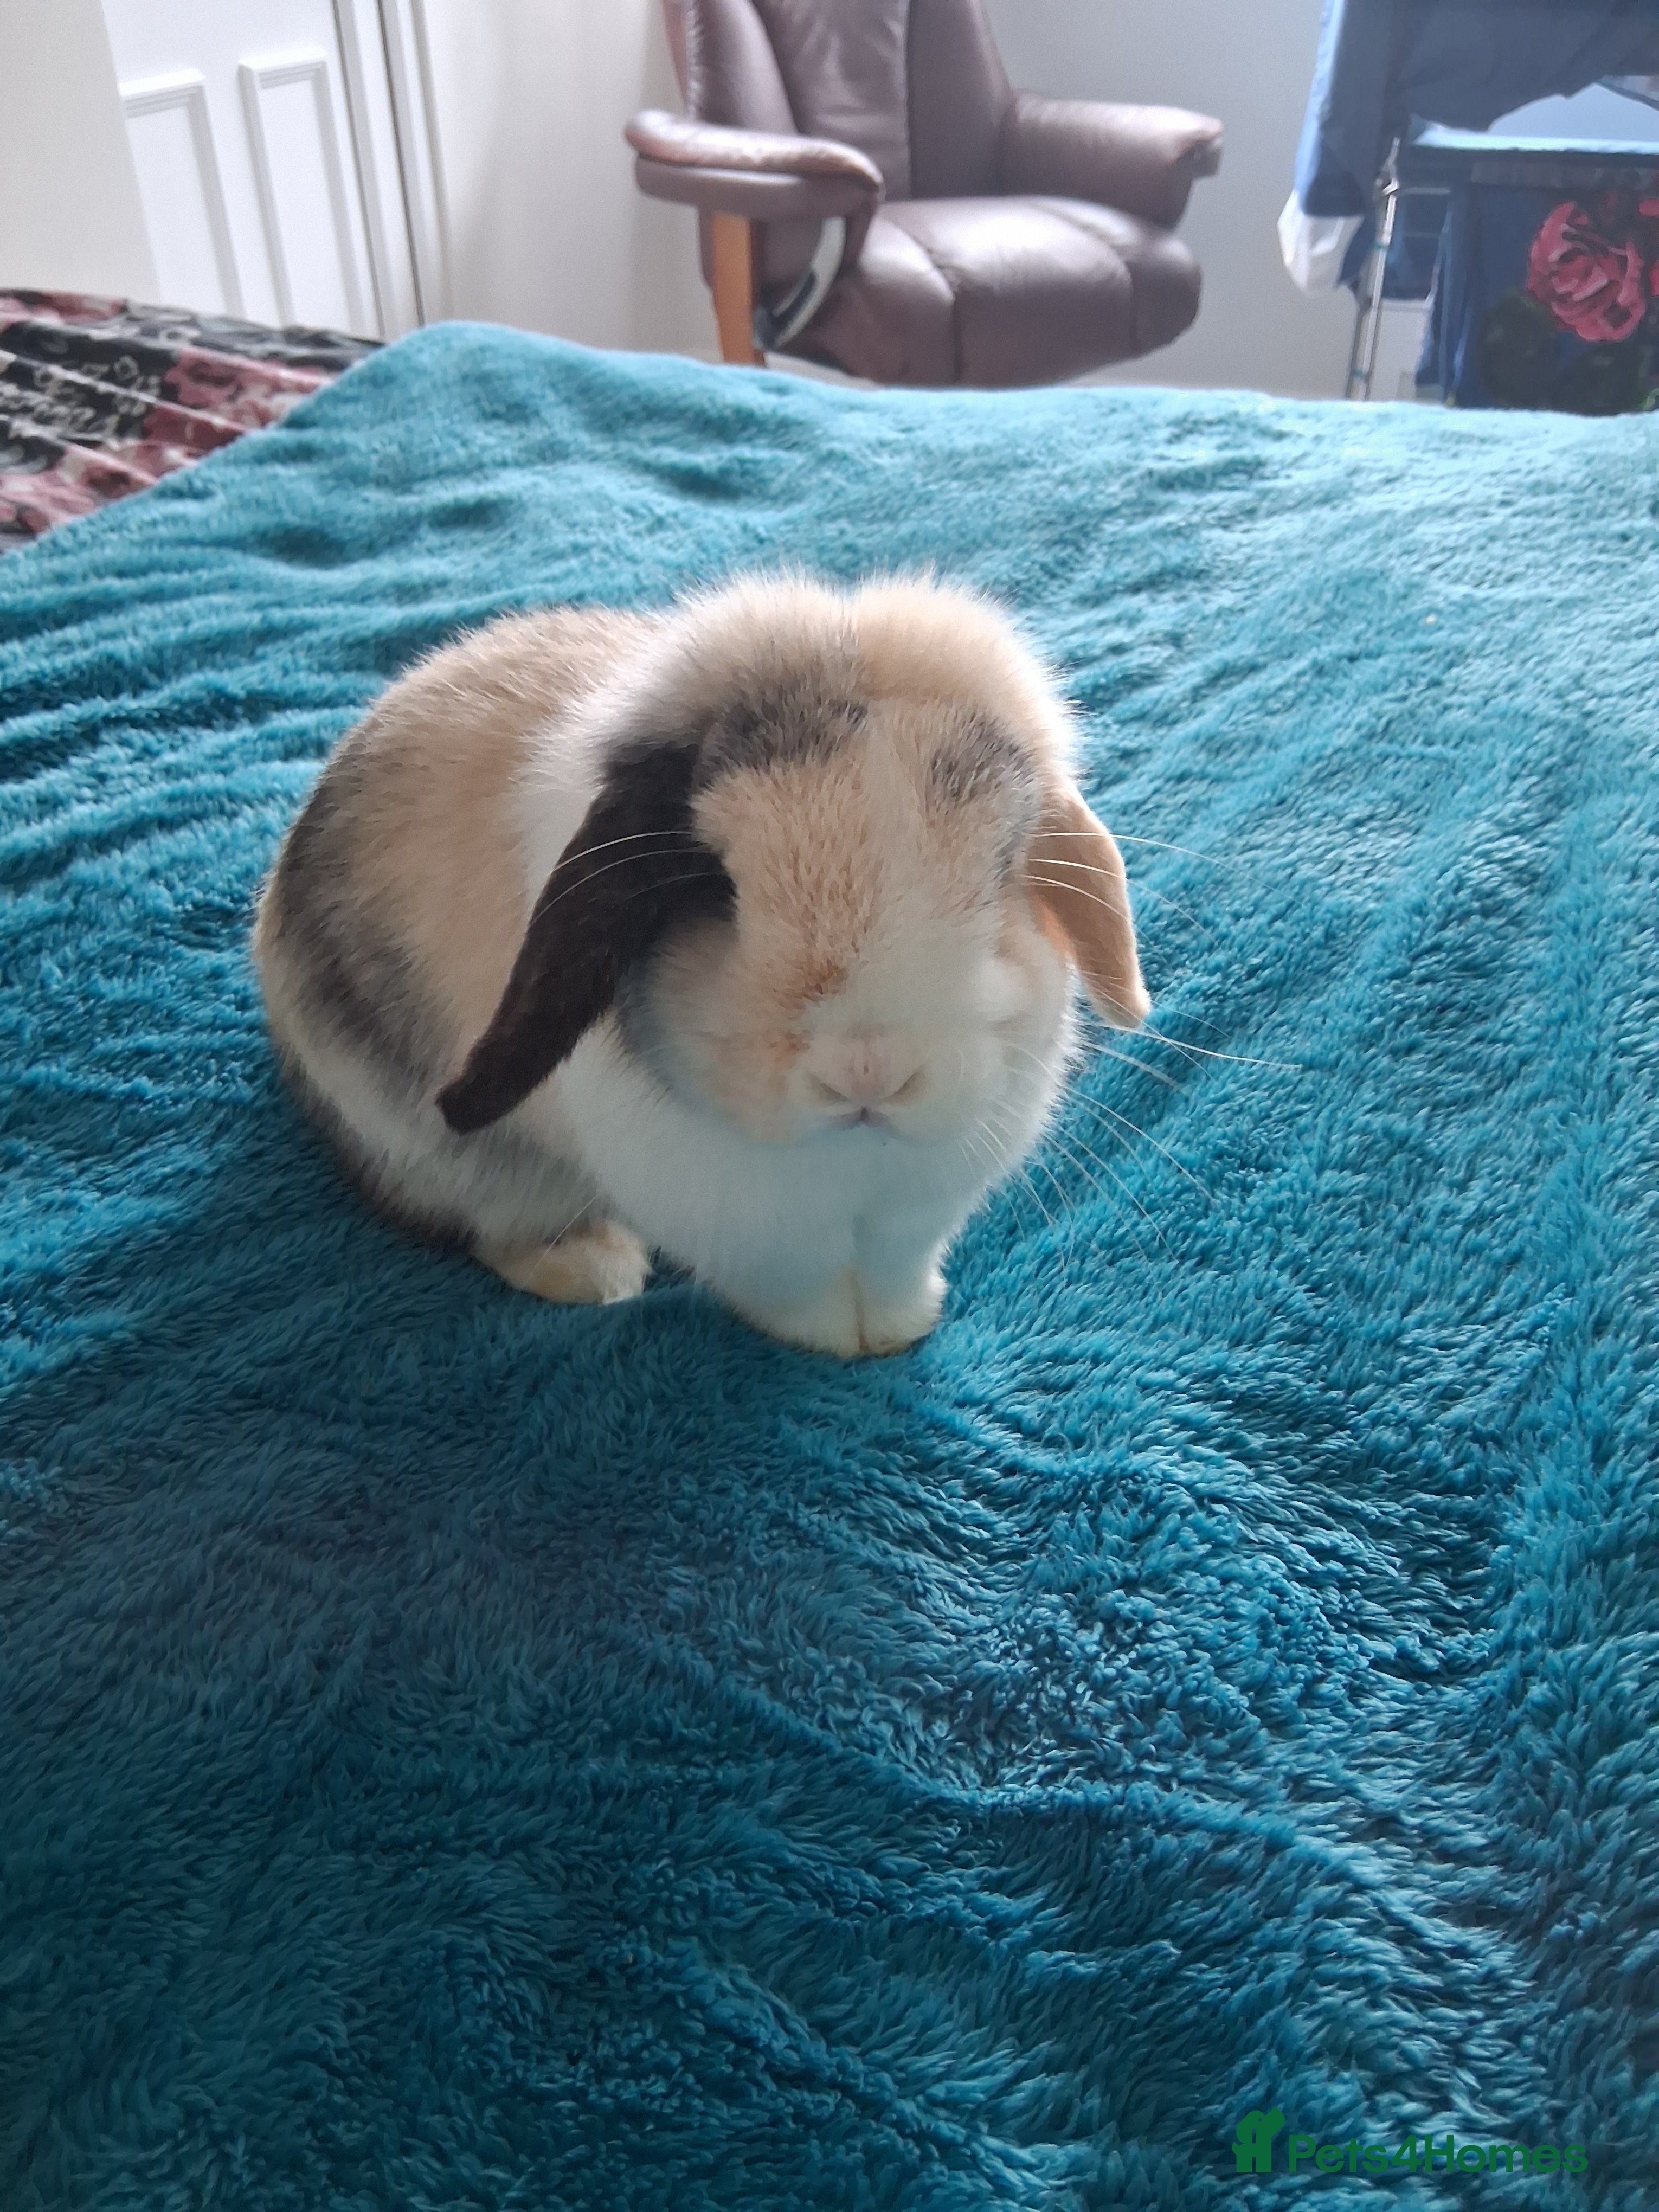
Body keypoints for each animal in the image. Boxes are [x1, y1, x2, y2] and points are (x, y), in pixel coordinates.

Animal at [252, 573, 1150, 1357]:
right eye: (716, 885)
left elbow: (894, 1275)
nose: (868, 1073)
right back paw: (594, 1271)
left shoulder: (914, 1217)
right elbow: (799, 1291)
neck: (850, 1162)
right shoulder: (750, 1235)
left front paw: (898, 1331)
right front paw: (838, 1344)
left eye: (1002, 870)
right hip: (433, 1145)